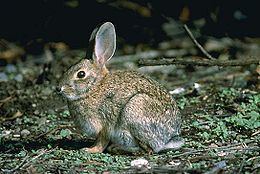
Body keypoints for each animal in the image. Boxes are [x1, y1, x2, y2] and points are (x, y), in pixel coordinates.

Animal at [56, 21, 183, 154]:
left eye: (81, 74)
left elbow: (102, 141)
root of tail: (167, 140)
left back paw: (118, 148)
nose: (58, 88)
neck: (94, 88)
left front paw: (90, 149)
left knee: (147, 149)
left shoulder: (104, 125)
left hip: (134, 110)